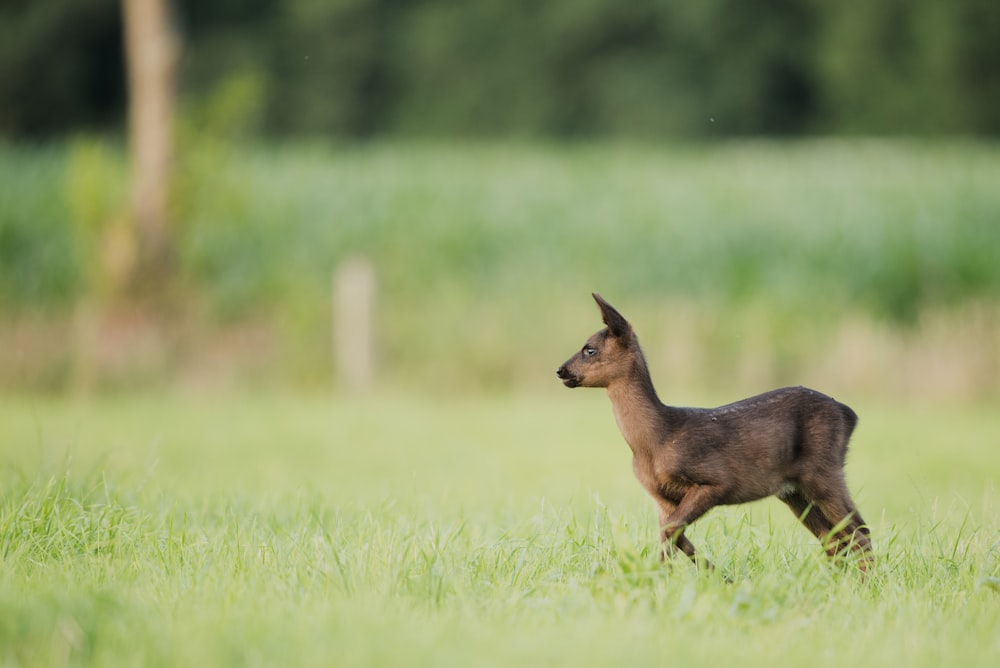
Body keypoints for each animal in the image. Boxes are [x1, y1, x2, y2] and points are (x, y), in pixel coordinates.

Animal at [560, 294, 872, 576]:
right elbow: (672, 536)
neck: (656, 439)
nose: (560, 370)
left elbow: (674, 531)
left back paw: (864, 584)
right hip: (793, 490)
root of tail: (850, 414)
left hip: (822, 470)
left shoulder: (717, 480)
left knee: (858, 532)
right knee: (835, 539)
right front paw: (690, 577)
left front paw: (711, 577)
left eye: (590, 349)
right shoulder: (661, 497)